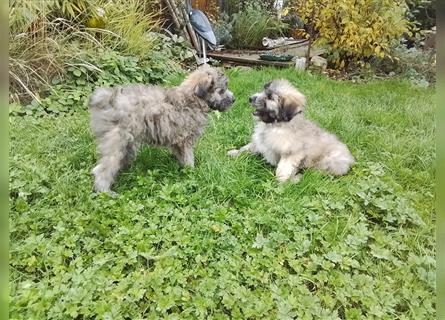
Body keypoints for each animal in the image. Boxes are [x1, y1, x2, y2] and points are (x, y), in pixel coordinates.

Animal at [90, 63, 236, 191]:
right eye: (221, 91)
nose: (234, 100)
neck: (192, 99)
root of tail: (106, 100)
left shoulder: (177, 141)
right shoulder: (185, 140)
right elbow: (188, 158)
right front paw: (191, 172)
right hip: (117, 140)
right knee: (102, 168)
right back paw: (105, 191)